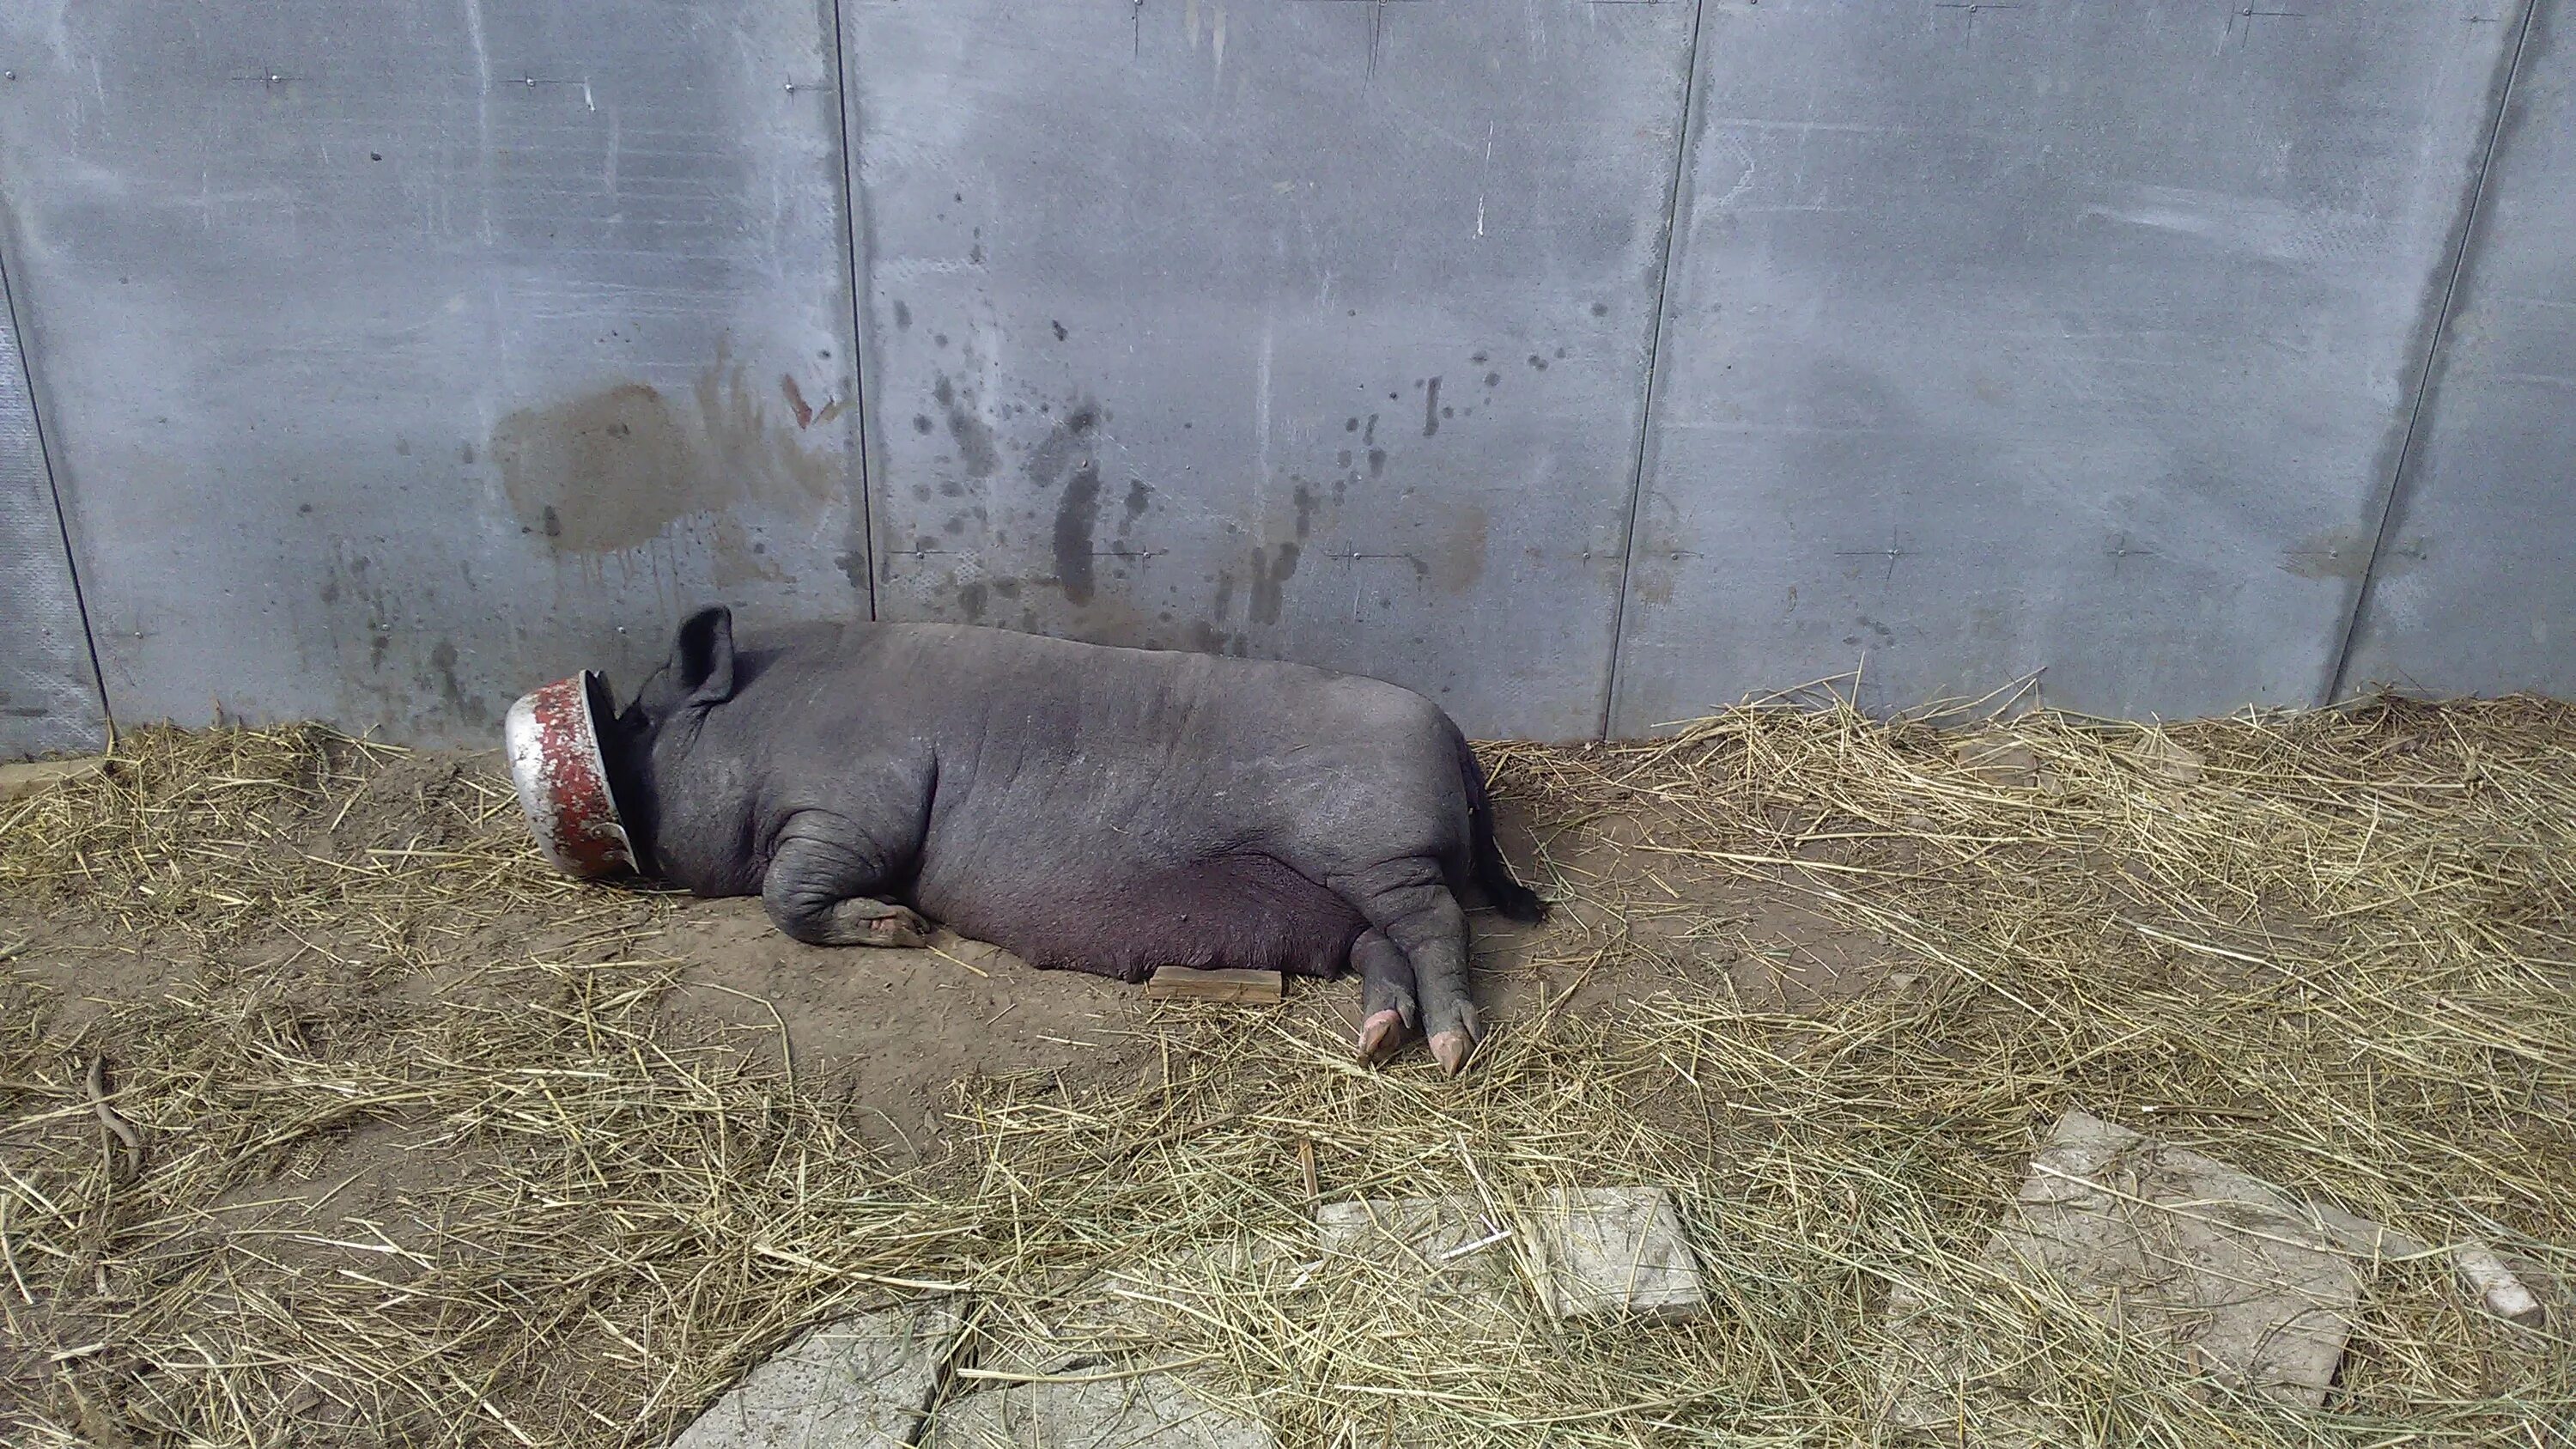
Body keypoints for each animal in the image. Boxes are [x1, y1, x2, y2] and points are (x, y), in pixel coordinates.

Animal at [592, 603, 1535, 1067]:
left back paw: (1453, 1050)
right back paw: (1379, 1042)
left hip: (1380, 850)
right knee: (1381, 948)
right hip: (1336, 893)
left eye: (638, 719)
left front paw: (905, 926)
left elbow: (787, 894)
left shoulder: (860, 803)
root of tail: (1452, 734)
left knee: (1437, 925)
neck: (762, 724)